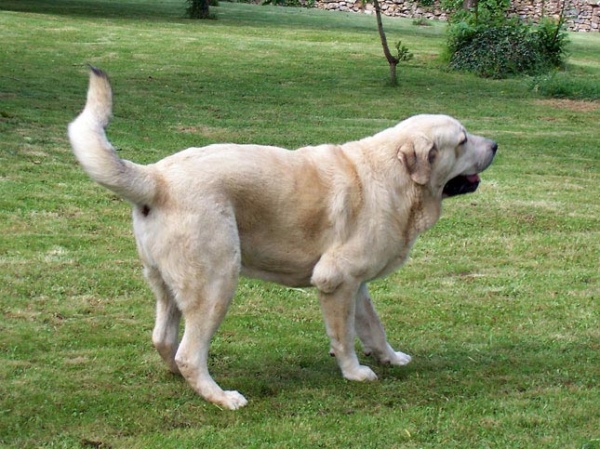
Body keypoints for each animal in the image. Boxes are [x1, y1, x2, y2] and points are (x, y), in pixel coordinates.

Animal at [69, 67, 496, 410]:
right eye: (461, 140)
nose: (495, 145)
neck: (398, 179)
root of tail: (157, 178)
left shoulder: (357, 285)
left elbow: (373, 326)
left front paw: (389, 357)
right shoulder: (336, 280)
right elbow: (344, 336)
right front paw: (355, 372)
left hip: (168, 286)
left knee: (163, 339)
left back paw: (179, 374)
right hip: (217, 282)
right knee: (191, 353)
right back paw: (221, 397)